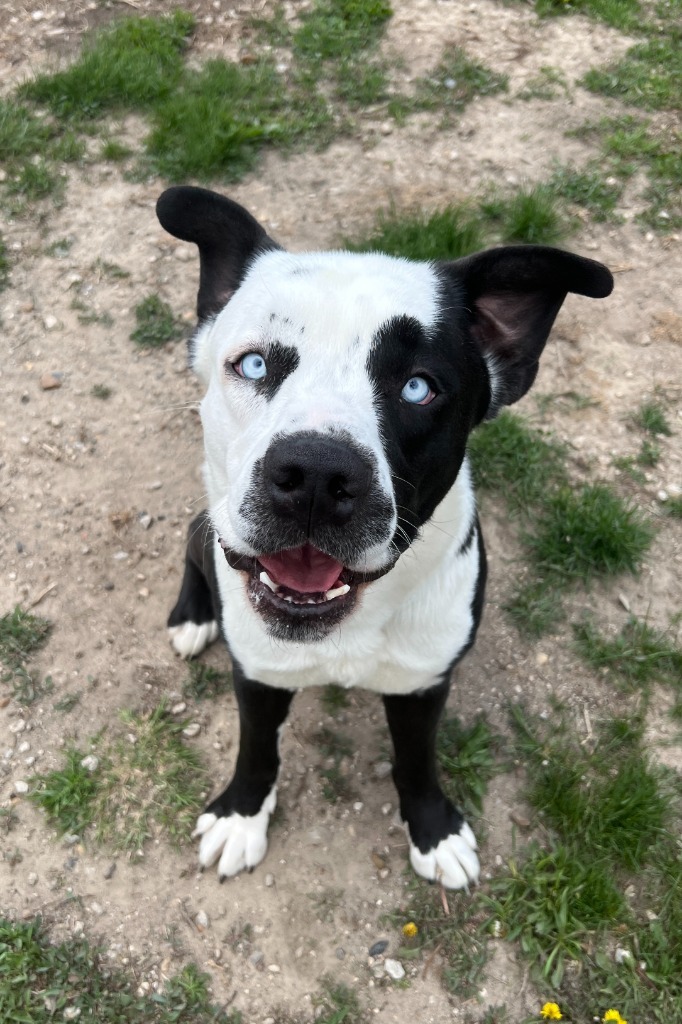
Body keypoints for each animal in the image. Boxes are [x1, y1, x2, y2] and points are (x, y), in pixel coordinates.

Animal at [156, 186, 614, 888]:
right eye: (254, 364)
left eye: (419, 388)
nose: (316, 475)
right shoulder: (258, 673)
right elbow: (257, 749)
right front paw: (241, 814)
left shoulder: (424, 682)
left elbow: (416, 759)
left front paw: (433, 829)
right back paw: (193, 615)